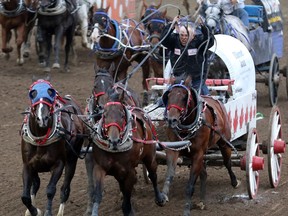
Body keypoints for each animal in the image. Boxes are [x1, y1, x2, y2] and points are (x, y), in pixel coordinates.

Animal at [20, 78, 89, 216]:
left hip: (72, 159)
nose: (42, 118)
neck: (40, 140)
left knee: (65, 189)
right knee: (36, 185)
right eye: (33, 94)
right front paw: (34, 211)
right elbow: (25, 196)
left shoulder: (58, 164)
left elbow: (51, 190)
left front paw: (47, 212)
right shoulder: (28, 165)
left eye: (50, 93)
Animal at [161, 75, 240, 214]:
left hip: (224, 143)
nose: (171, 120)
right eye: (168, 95)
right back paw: (202, 200)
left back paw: (234, 182)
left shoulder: (198, 154)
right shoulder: (174, 150)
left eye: (184, 97)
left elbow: (190, 186)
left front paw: (186, 209)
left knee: (227, 163)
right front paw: (164, 196)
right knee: (204, 174)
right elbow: (169, 174)